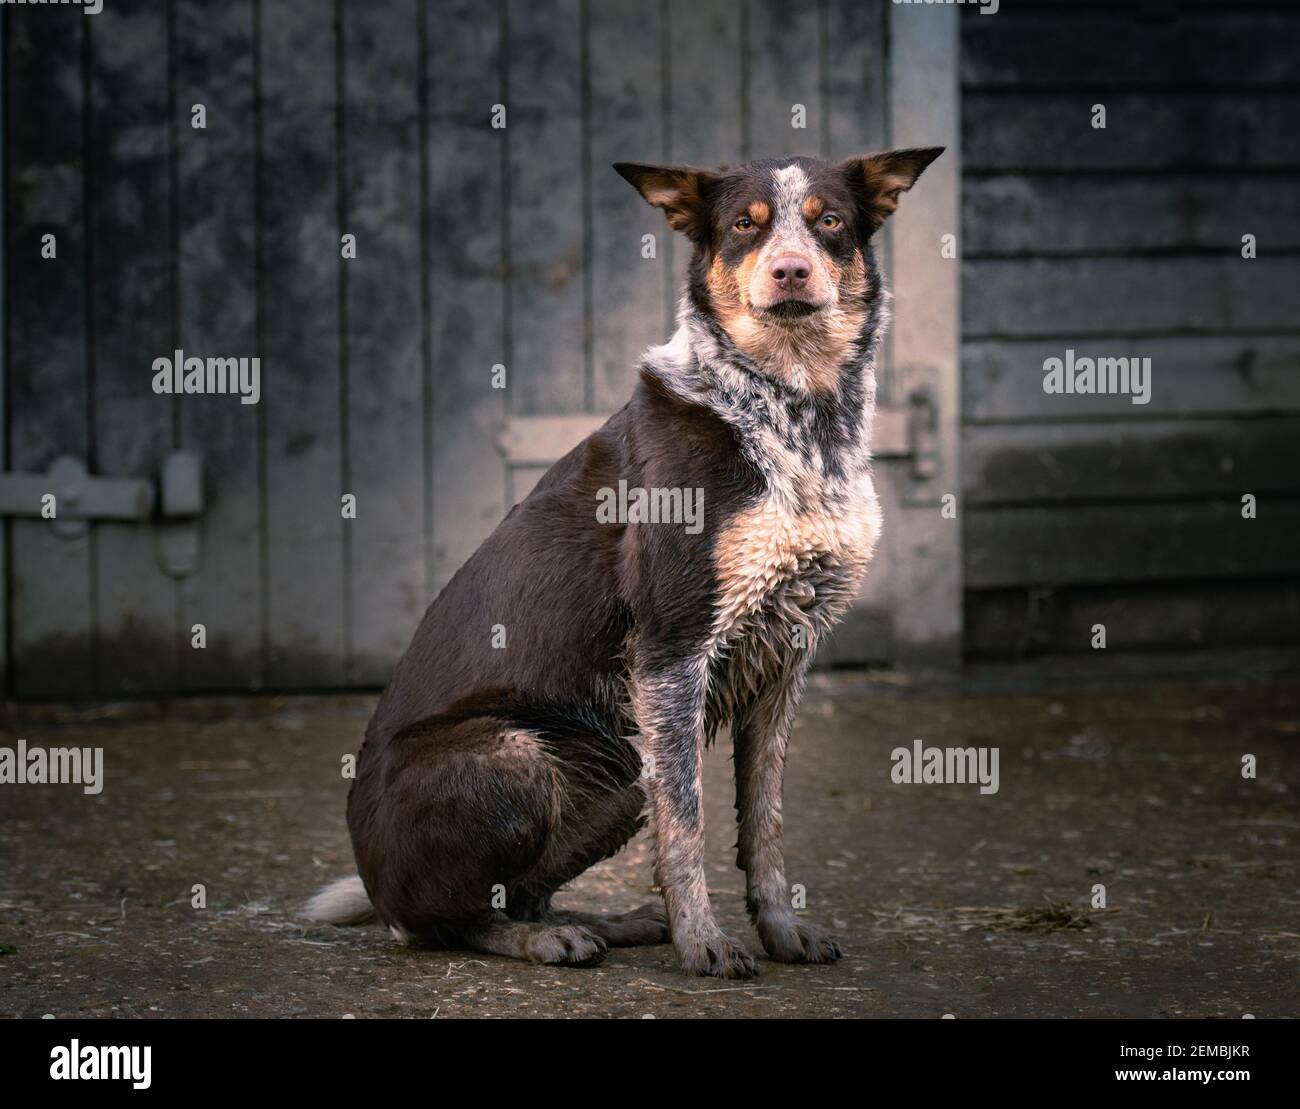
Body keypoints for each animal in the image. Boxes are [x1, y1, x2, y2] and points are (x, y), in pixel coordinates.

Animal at [308, 146, 941, 977]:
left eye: (828, 220)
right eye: (745, 226)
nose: (792, 271)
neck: (792, 407)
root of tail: (377, 889)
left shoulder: (784, 659)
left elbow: (764, 821)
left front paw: (779, 931)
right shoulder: (674, 649)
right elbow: (689, 826)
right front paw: (702, 943)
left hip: (615, 771)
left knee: (522, 889)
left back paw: (614, 922)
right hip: (517, 754)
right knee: (452, 920)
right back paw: (548, 938)